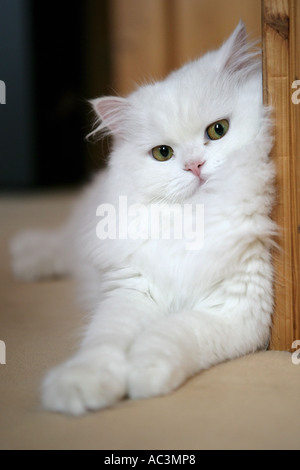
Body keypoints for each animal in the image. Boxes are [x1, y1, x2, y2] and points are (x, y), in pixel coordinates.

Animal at [10, 23, 276, 414]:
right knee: (60, 243)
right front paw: (78, 386)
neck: (192, 221)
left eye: (218, 130)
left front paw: (143, 375)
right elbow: (102, 342)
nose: (195, 166)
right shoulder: (131, 291)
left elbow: (168, 336)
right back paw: (25, 257)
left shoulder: (234, 309)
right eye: (162, 153)